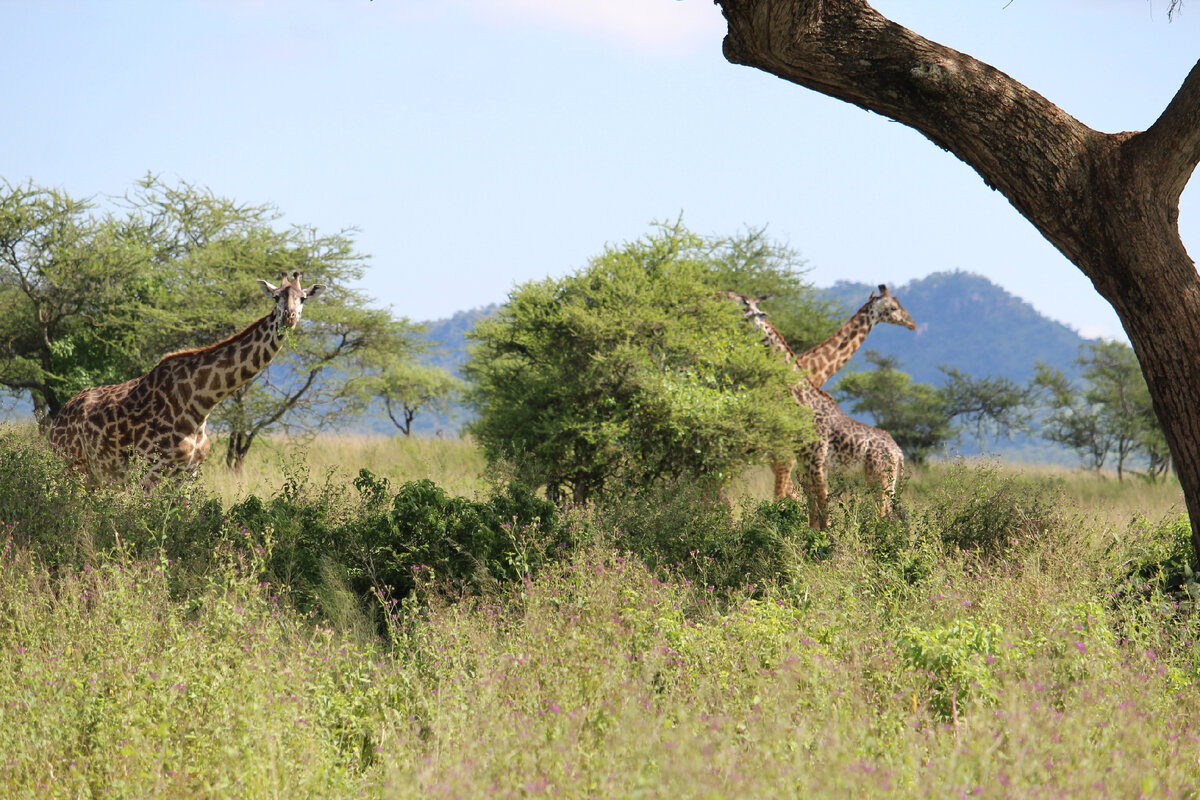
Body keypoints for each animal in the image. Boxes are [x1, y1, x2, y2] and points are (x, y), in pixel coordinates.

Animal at [49, 272, 326, 482]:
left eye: (303, 298)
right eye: (277, 296)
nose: (289, 317)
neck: (201, 403)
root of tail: (59, 415)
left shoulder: (189, 474)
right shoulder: (151, 471)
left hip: (96, 474)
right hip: (71, 464)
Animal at [720, 291, 902, 527]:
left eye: (744, 305)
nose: (721, 302)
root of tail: (898, 452)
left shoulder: (808, 462)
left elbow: (816, 511)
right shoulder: (799, 462)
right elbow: (810, 510)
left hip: (881, 478)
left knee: (885, 516)